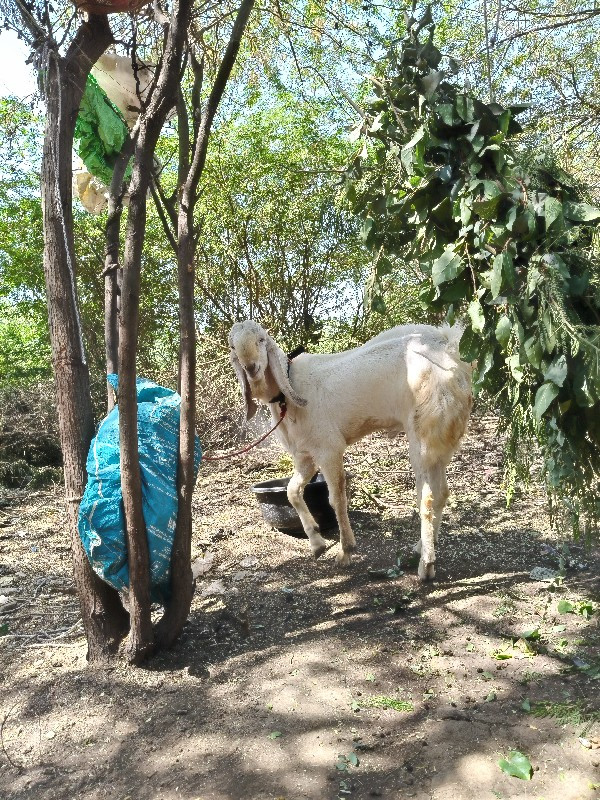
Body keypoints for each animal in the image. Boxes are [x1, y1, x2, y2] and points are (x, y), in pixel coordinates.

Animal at [230, 320, 474, 580]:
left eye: (261, 340)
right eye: (233, 347)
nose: (252, 368)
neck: (289, 388)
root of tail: (450, 350)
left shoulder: (329, 449)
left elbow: (336, 499)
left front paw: (345, 551)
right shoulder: (305, 456)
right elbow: (292, 491)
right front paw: (317, 543)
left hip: (423, 435)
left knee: (426, 498)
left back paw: (426, 566)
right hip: (442, 439)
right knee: (442, 493)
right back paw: (422, 547)